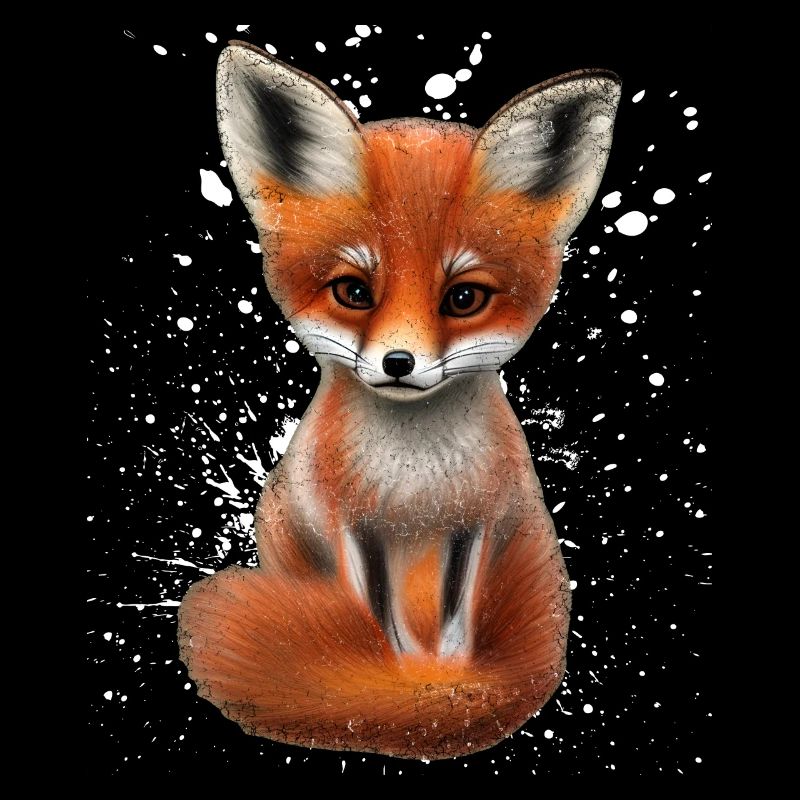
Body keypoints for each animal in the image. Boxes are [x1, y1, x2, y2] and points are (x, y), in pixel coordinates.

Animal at [178, 41, 620, 761]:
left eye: (463, 298)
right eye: (353, 292)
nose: (398, 364)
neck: (415, 476)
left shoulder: (474, 522)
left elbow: (452, 627)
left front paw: (440, 687)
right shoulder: (355, 529)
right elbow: (379, 626)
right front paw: (401, 684)